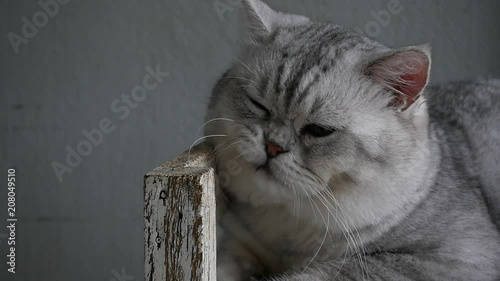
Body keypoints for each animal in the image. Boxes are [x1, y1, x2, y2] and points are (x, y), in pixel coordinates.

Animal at [203, 1, 500, 278]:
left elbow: (325, 273)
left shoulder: (456, 259)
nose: (272, 146)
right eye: (258, 105)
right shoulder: (238, 244)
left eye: (319, 130)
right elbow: (220, 264)